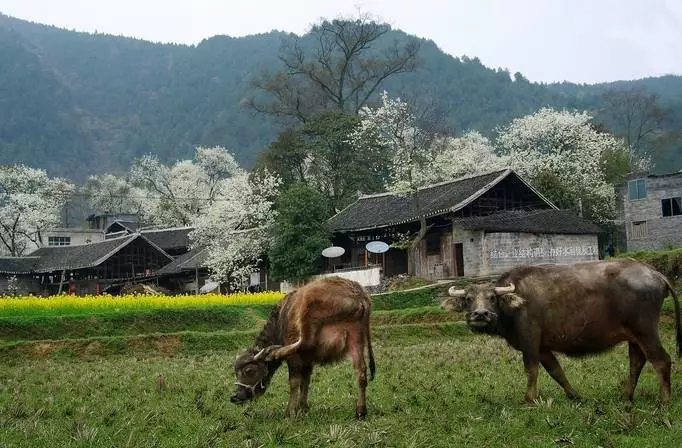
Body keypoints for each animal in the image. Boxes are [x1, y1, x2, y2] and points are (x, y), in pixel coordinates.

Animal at [231, 274, 374, 418]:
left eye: (249, 370)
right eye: (235, 372)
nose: (234, 396)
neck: (281, 320)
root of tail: (358, 294)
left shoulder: (295, 359)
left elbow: (294, 382)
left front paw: (290, 411)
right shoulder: (307, 361)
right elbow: (305, 381)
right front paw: (303, 407)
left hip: (308, 313)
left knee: (304, 341)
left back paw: (273, 352)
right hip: (355, 335)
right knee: (361, 371)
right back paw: (361, 410)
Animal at [440, 258, 680, 404]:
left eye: (492, 297)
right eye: (468, 299)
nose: (480, 314)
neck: (515, 305)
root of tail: (655, 273)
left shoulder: (530, 342)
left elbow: (531, 370)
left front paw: (529, 398)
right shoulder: (543, 348)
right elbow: (556, 371)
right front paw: (574, 395)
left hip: (646, 330)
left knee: (661, 360)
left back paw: (665, 400)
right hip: (634, 336)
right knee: (636, 362)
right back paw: (626, 396)